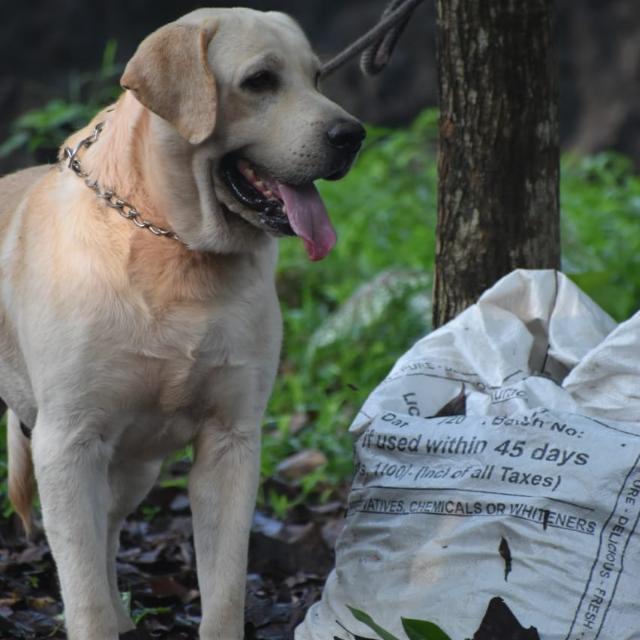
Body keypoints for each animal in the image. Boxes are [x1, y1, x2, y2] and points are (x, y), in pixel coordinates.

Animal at [0, 6, 362, 640]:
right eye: (260, 81)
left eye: (317, 77)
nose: (353, 135)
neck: (176, 248)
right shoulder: (66, 443)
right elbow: (82, 591)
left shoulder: (232, 439)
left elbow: (223, 587)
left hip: (135, 466)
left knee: (108, 529)